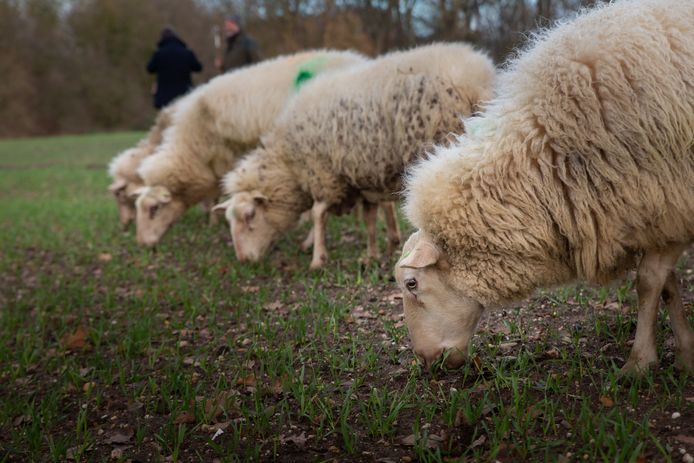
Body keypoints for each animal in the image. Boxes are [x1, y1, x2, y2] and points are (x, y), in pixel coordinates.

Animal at [218, 44, 494, 268]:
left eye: (250, 215)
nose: (243, 260)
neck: (288, 164)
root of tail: (476, 78)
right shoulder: (362, 178)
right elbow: (370, 219)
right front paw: (372, 255)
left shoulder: (324, 174)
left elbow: (318, 214)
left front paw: (318, 258)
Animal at [396, 0, 694, 376]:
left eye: (412, 283)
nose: (426, 360)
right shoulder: (657, 212)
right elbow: (667, 284)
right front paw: (685, 355)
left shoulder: (676, 201)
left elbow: (650, 281)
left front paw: (639, 362)